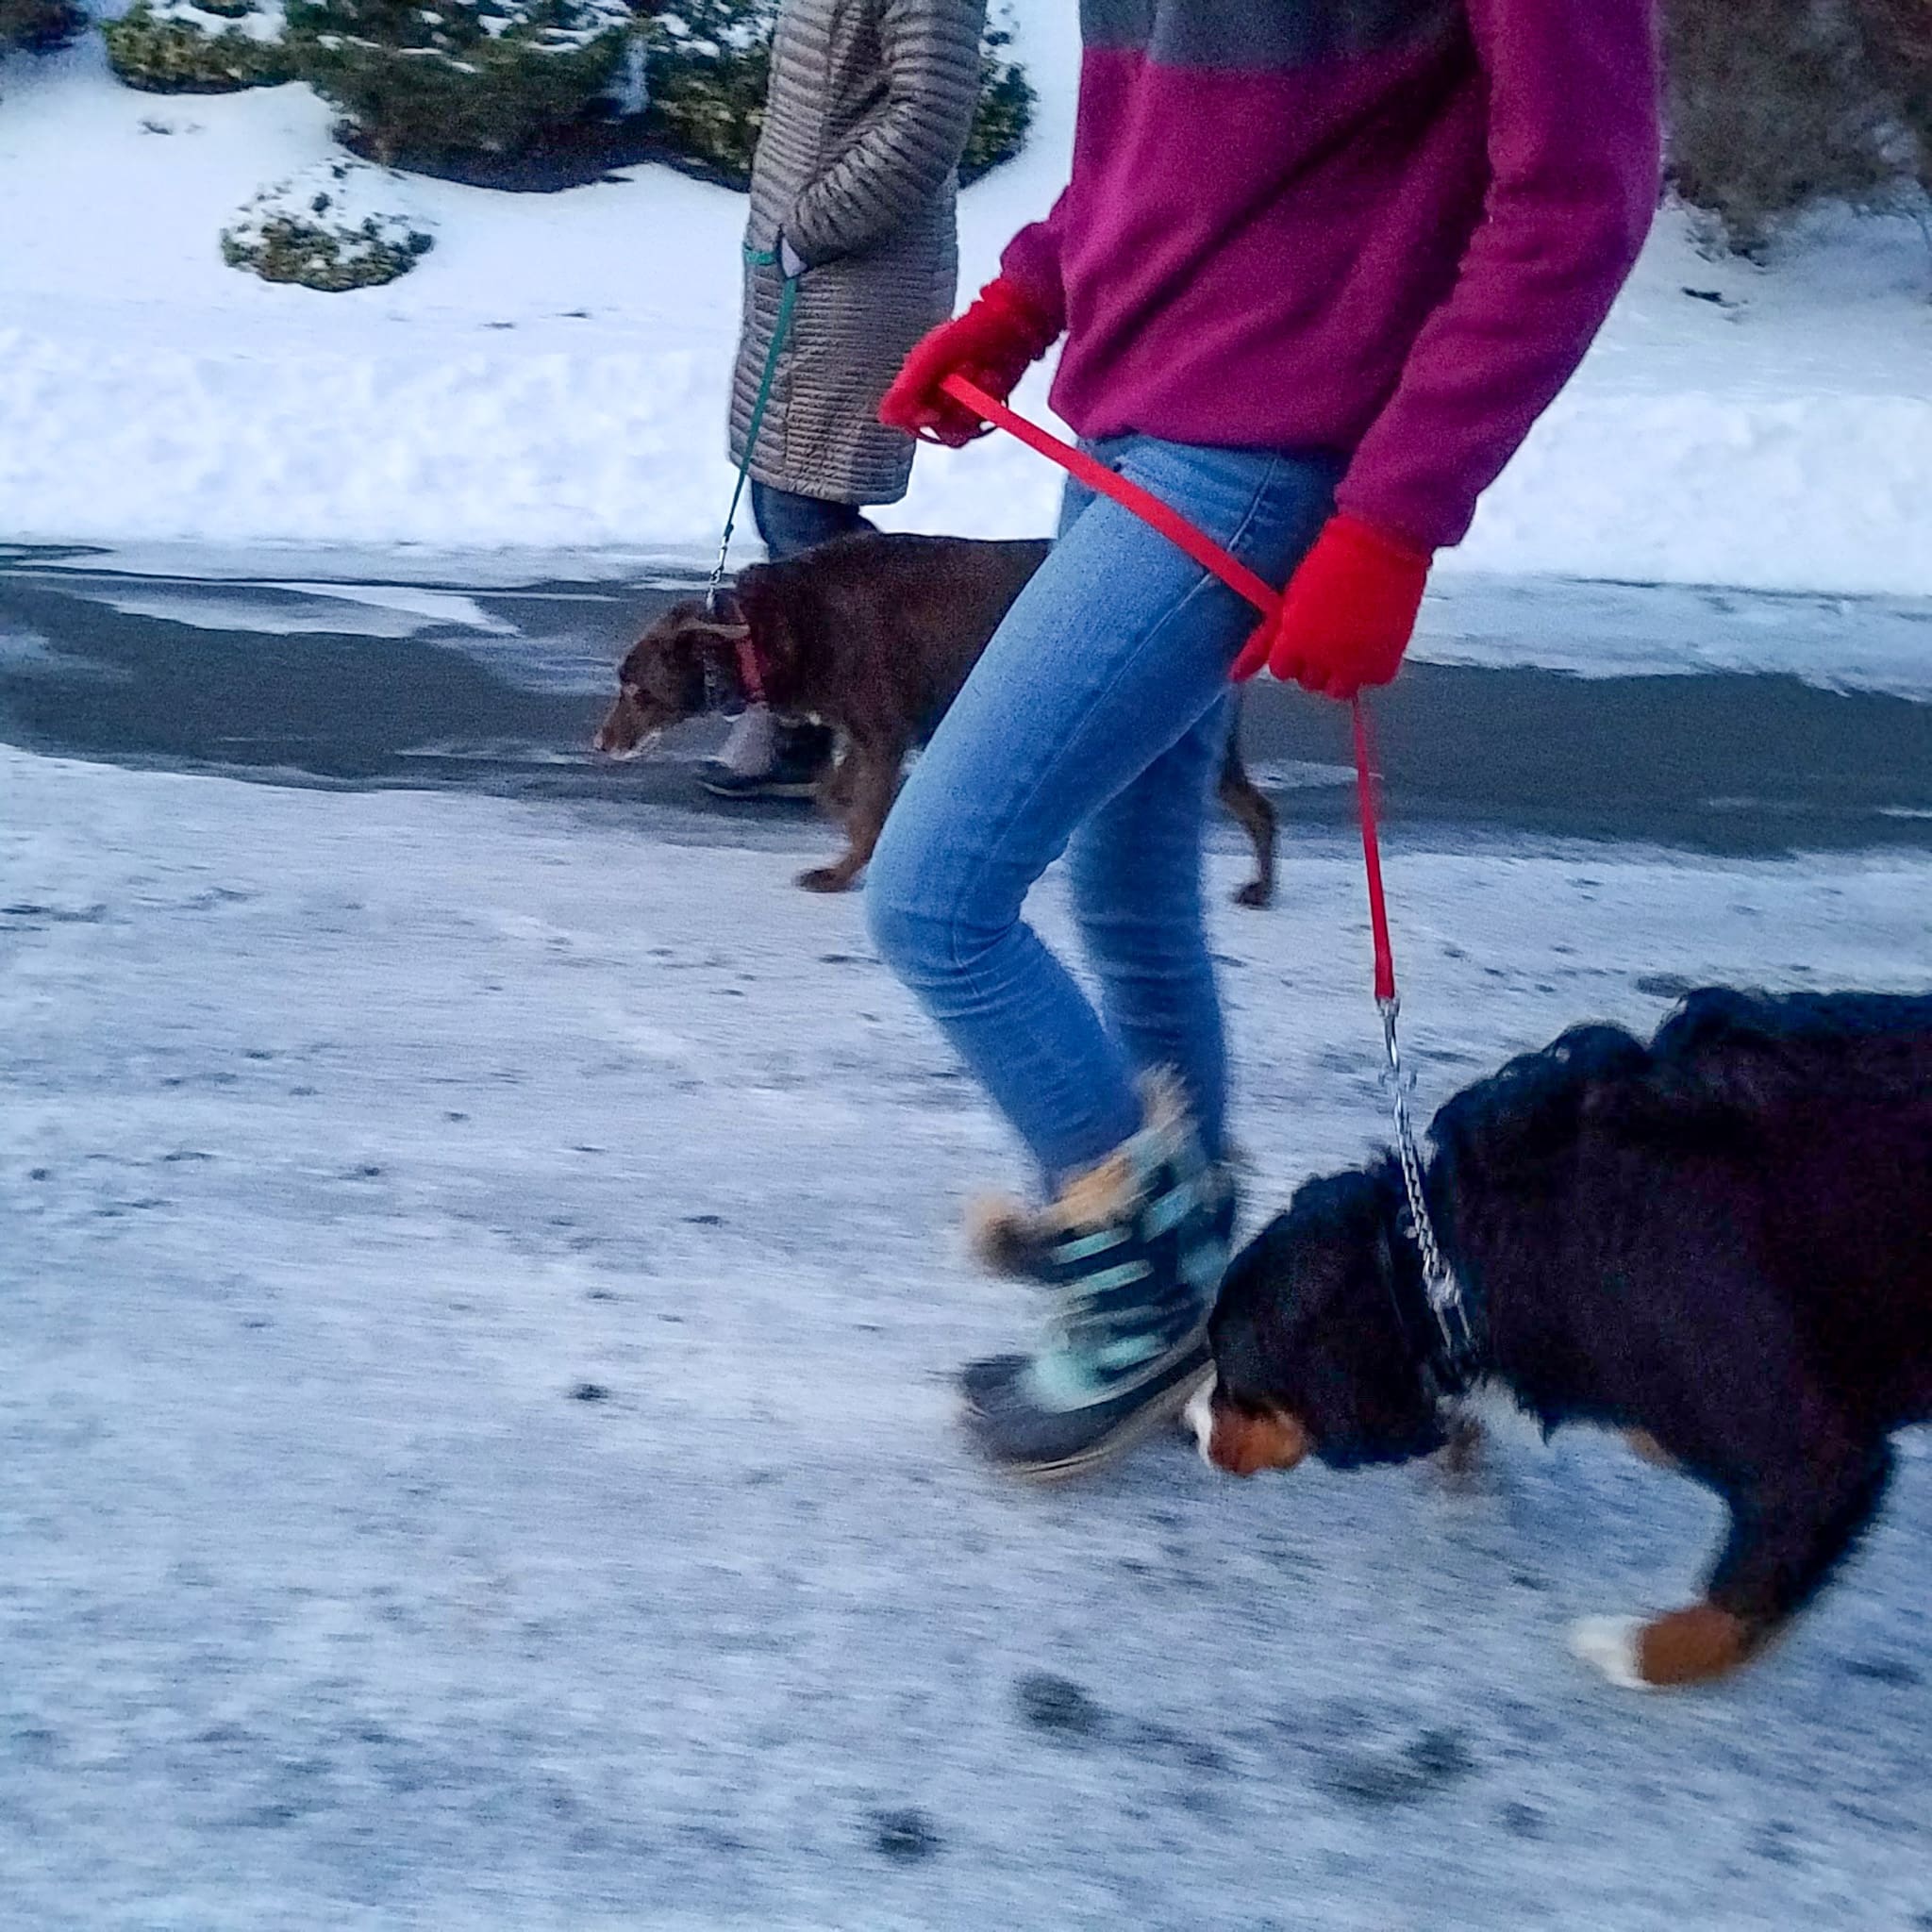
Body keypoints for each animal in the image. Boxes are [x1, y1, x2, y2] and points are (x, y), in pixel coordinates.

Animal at [594, 529, 1274, 896]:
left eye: (636, 689)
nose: (599, 744)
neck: (771, 632)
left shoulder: (884, 731)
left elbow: (864, 814)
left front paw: (840, 873)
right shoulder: (864, 732)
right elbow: (835, 794)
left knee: (1258, 809)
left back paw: (1261, 890)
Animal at [1190, 996, 1932, 1692]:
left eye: (1234, 1375)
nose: (1192, 1424)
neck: (1464, 1261)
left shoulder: (1813, 1460)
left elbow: (1732, 1606)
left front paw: (1628, 1651)